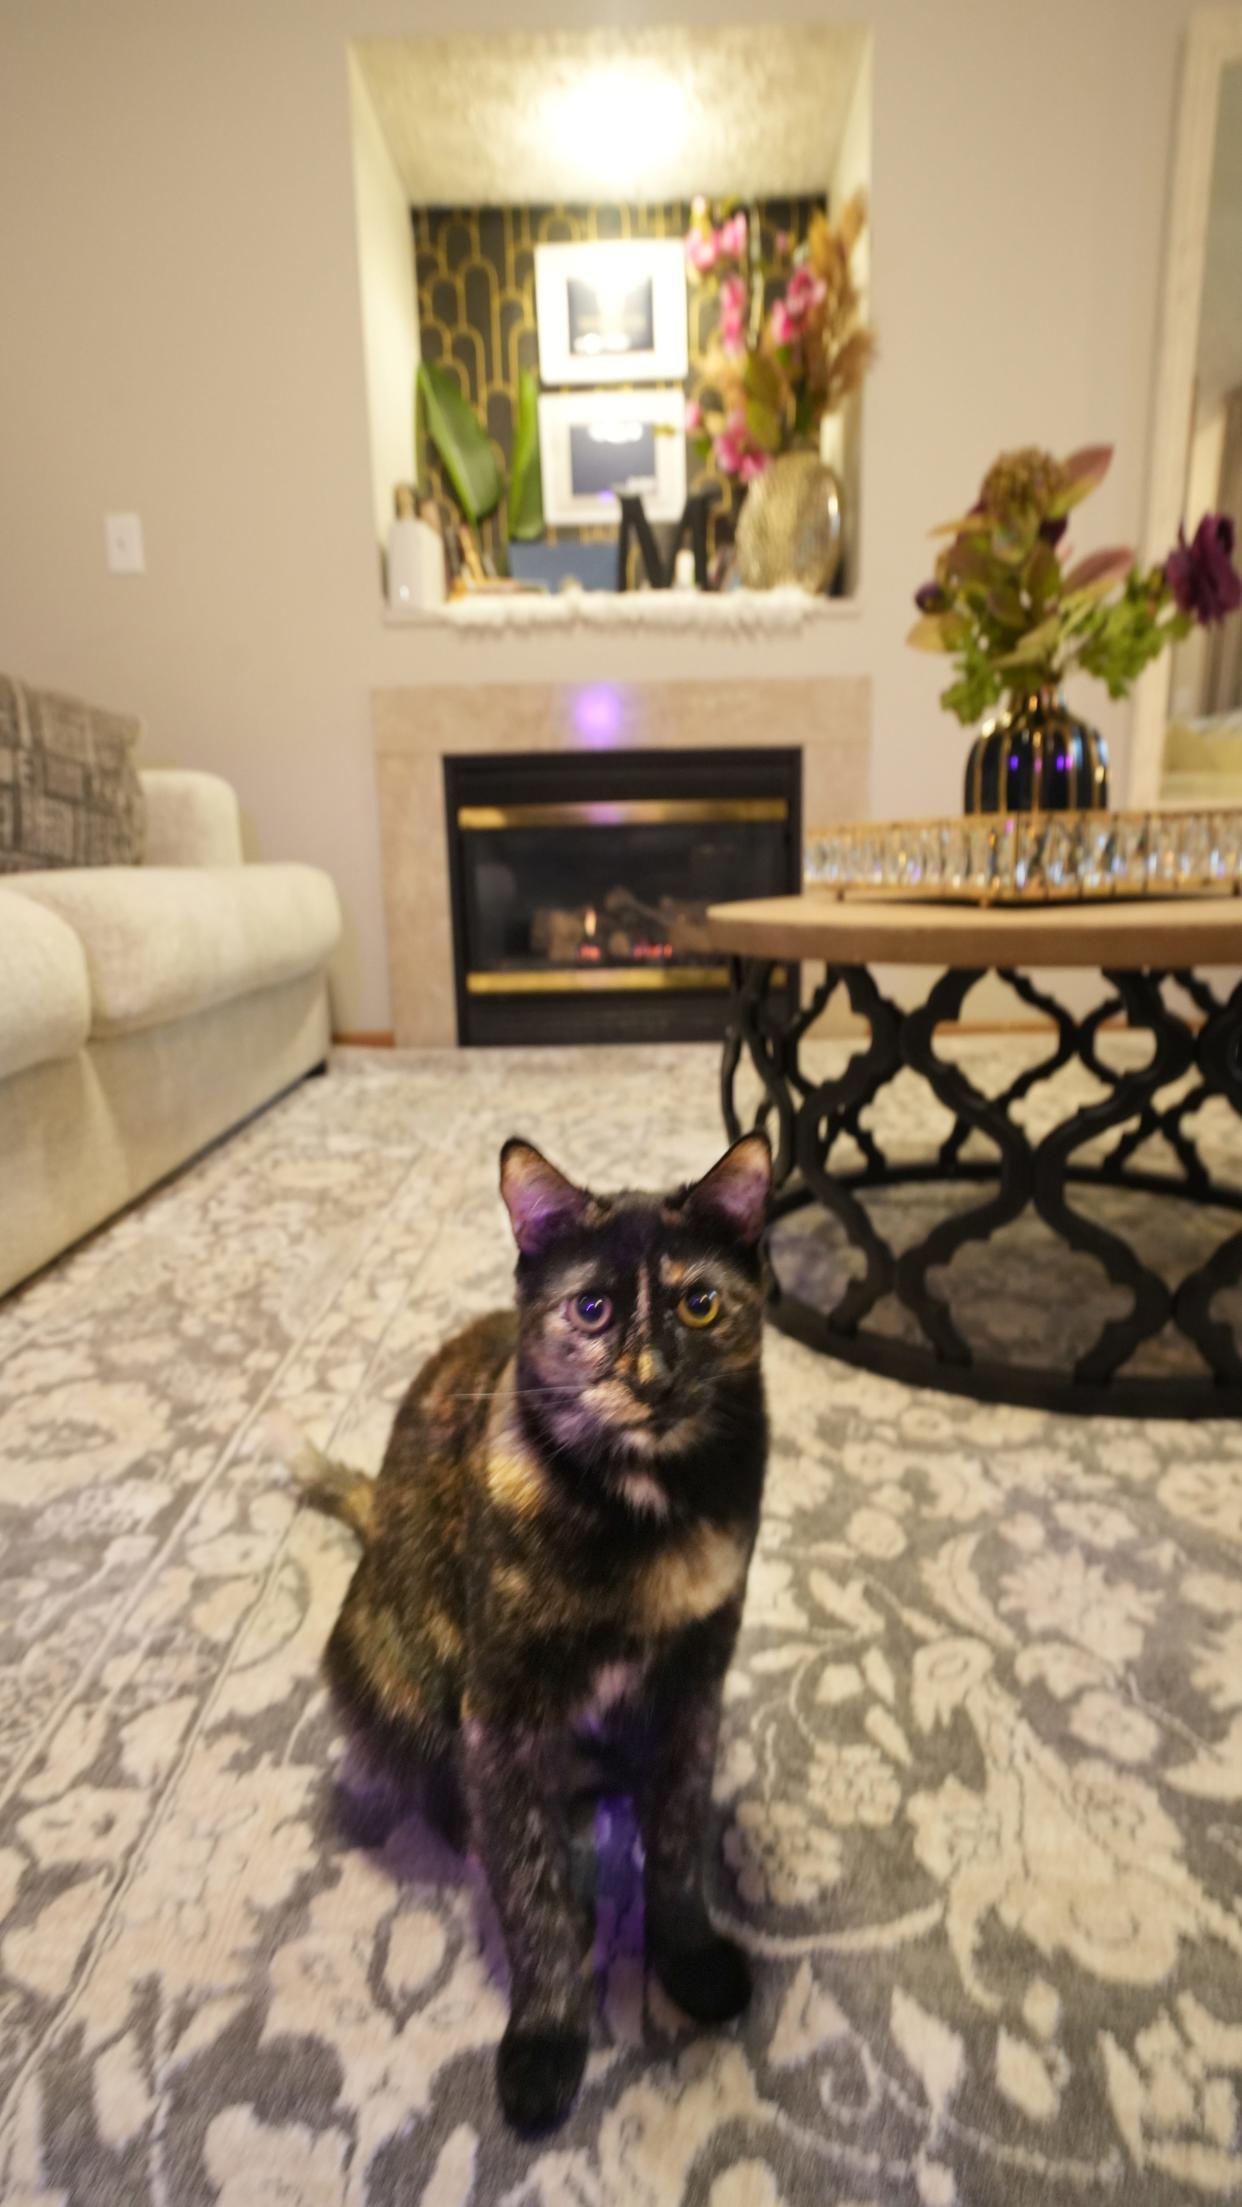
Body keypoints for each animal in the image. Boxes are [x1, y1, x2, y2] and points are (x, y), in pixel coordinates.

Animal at [295, 1129, 772, 2127]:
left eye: (701, 1302)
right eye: (591, 1307)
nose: (652, 1376)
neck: (640, 1512)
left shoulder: (693, 1684)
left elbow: (676, 1848)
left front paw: (691, 1963)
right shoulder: (505, 1712)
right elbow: (532, 1889)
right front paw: (547, 2040)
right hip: (386, 1666)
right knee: (441, 1779)